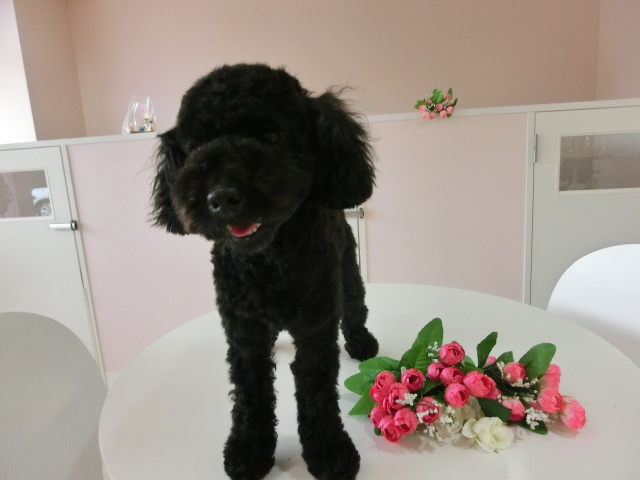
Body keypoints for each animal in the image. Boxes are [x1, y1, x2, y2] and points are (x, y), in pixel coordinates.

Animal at [151, 63, 379, 480]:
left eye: (271, 136)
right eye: (195, 147)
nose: (221, 197)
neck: (269, 264)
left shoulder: (315, 328)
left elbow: (316, 390)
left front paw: (330, 450)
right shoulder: (243, 332)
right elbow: (251, 393)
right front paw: (249, 449)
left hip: (348, 273)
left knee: (356, 309)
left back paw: (361, 342)